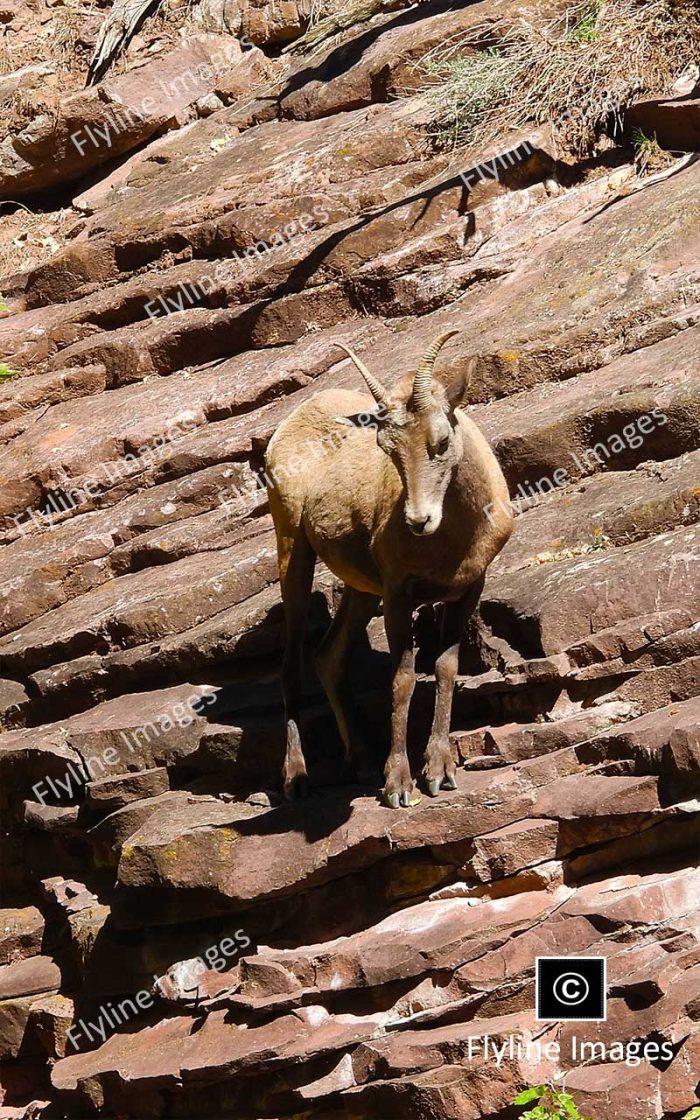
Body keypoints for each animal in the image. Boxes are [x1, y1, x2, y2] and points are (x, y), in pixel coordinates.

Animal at [264, 327, 510, 810]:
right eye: (387, 449)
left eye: (440, 441)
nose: (418, 520)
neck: (453, 541)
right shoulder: (399, 595)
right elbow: (401, 681)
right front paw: (398, 785)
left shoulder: (467, 588)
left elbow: (445, 669)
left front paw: (439, 772)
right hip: (293, 552)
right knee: (291, 664)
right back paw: (297, 779)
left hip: (361, 590)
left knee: (327, 656)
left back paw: (359, 760)